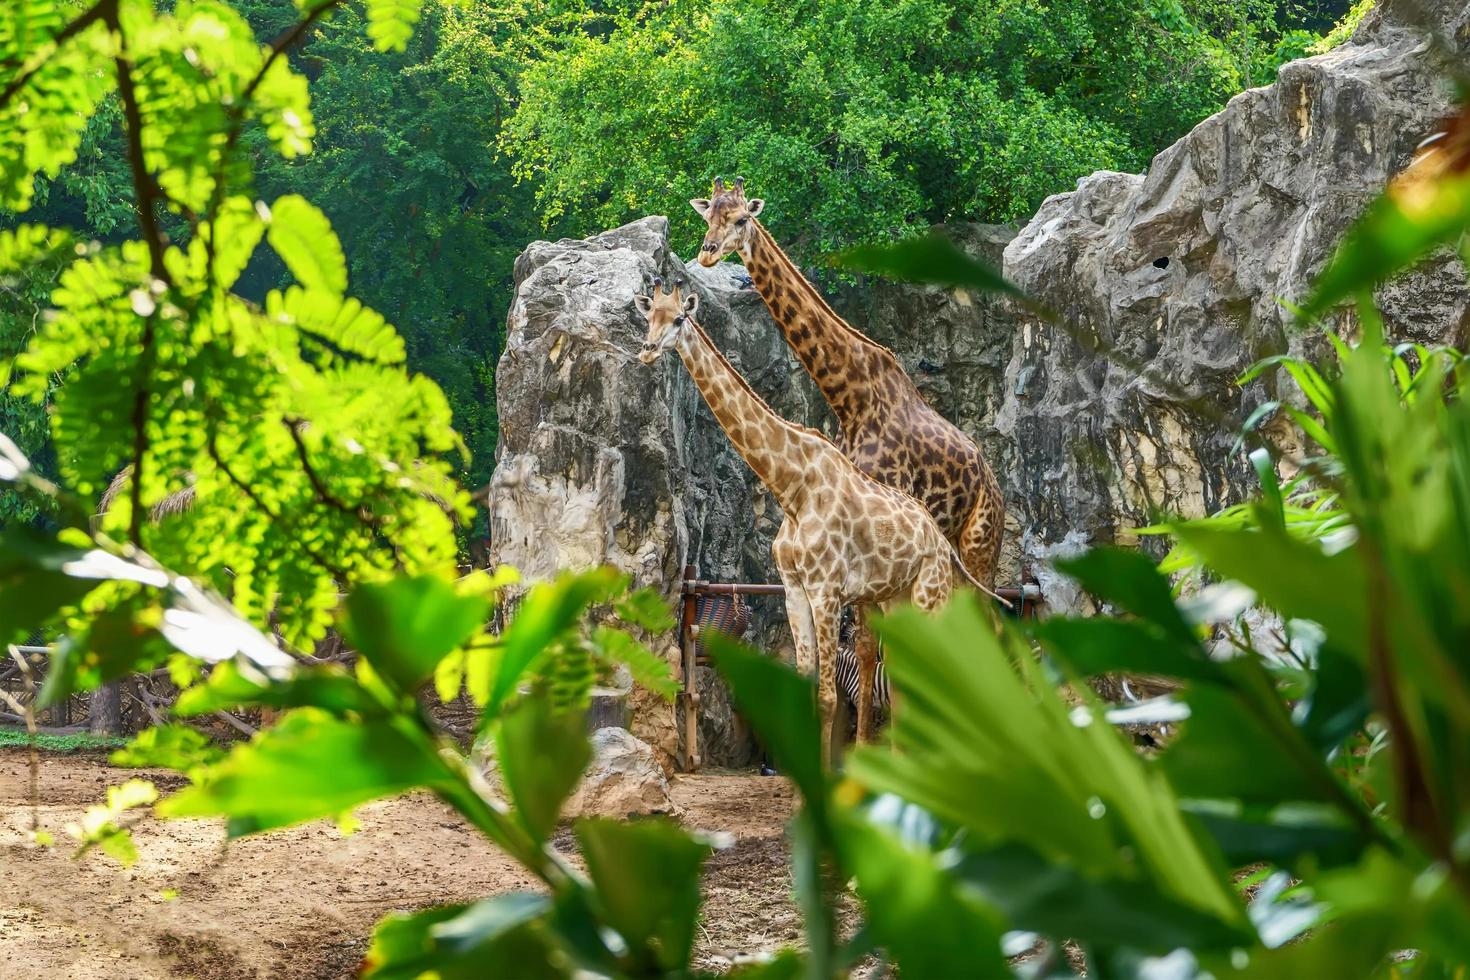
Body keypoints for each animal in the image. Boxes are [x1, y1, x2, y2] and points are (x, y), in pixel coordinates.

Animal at [632, 279, 999, 764]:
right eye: (648, 316)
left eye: (678, 319)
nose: (647, 351)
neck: (791, 489)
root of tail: (940, 543)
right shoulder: (794, 590)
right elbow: (806, 689)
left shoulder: (827, 589)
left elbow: (827, 697)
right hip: (896, 599)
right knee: (907, 681)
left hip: (933, 591)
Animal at [693, 176, 1005, 590]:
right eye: (708, 215)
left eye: (743, 218)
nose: (707, 254)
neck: (849, 396)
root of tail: (997, 488)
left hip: (980, 542)